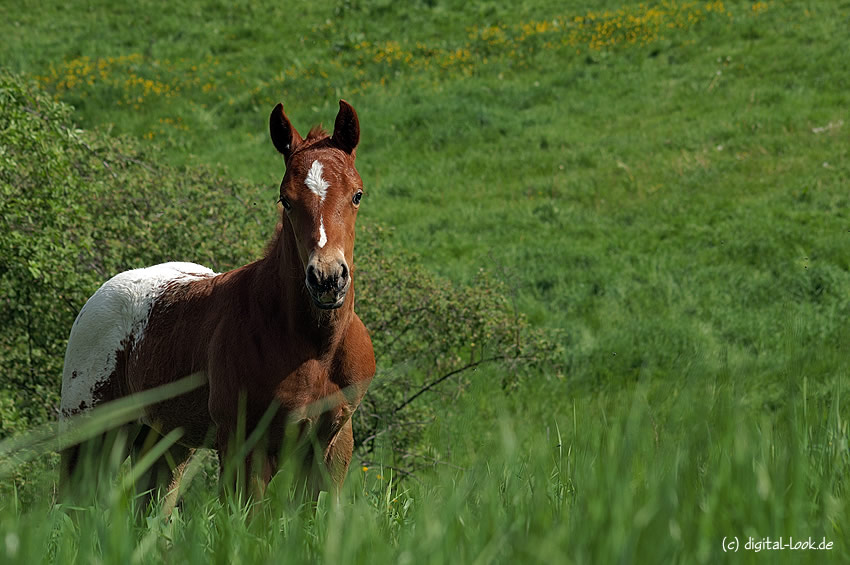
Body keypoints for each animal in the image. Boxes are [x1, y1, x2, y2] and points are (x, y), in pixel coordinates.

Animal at [59, 99, 374, 500]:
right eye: (285, 200)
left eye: (357, 195)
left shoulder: (333, 446)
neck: (315, 348)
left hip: (166, 442)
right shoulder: (244, 444)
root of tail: (100, 296)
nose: (327, 279)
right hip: (88, 432)